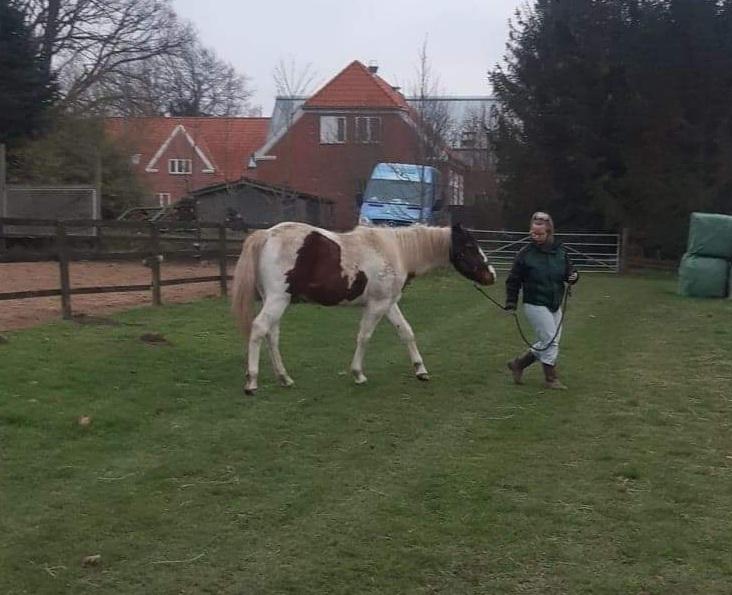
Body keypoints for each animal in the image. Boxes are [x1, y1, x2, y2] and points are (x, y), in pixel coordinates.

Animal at [232, 221, 494, 394]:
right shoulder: (377, 305)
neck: (395, 251)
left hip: (277, 300)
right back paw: (251, 382)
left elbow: (406, 332)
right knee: (259, 329)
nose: (491, 275)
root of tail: (266, 235)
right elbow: (364, 337)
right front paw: (358, 374)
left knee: (272, 335)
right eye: (469, 246)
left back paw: (284, 378)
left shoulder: (389, 303)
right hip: (277, 299)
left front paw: (420, 370)